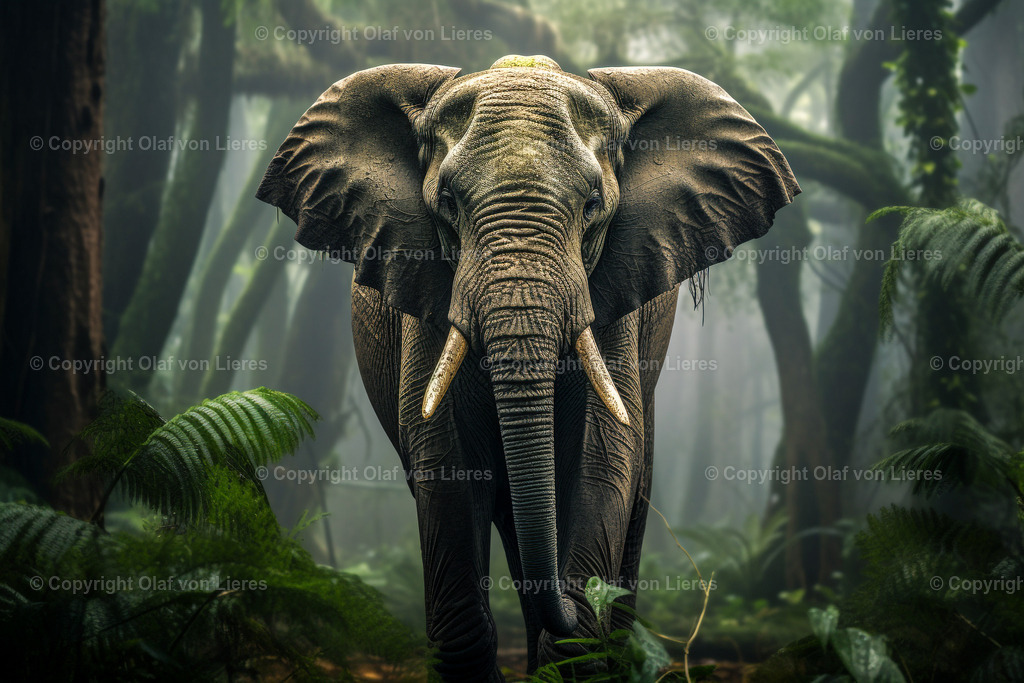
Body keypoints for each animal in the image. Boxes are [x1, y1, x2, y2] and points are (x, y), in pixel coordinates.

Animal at [257, 54, 799, 680]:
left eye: (593, 206)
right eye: (448, 203)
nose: (564, 601)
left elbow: (603, 459)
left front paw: (575, 636)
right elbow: (446, 464)